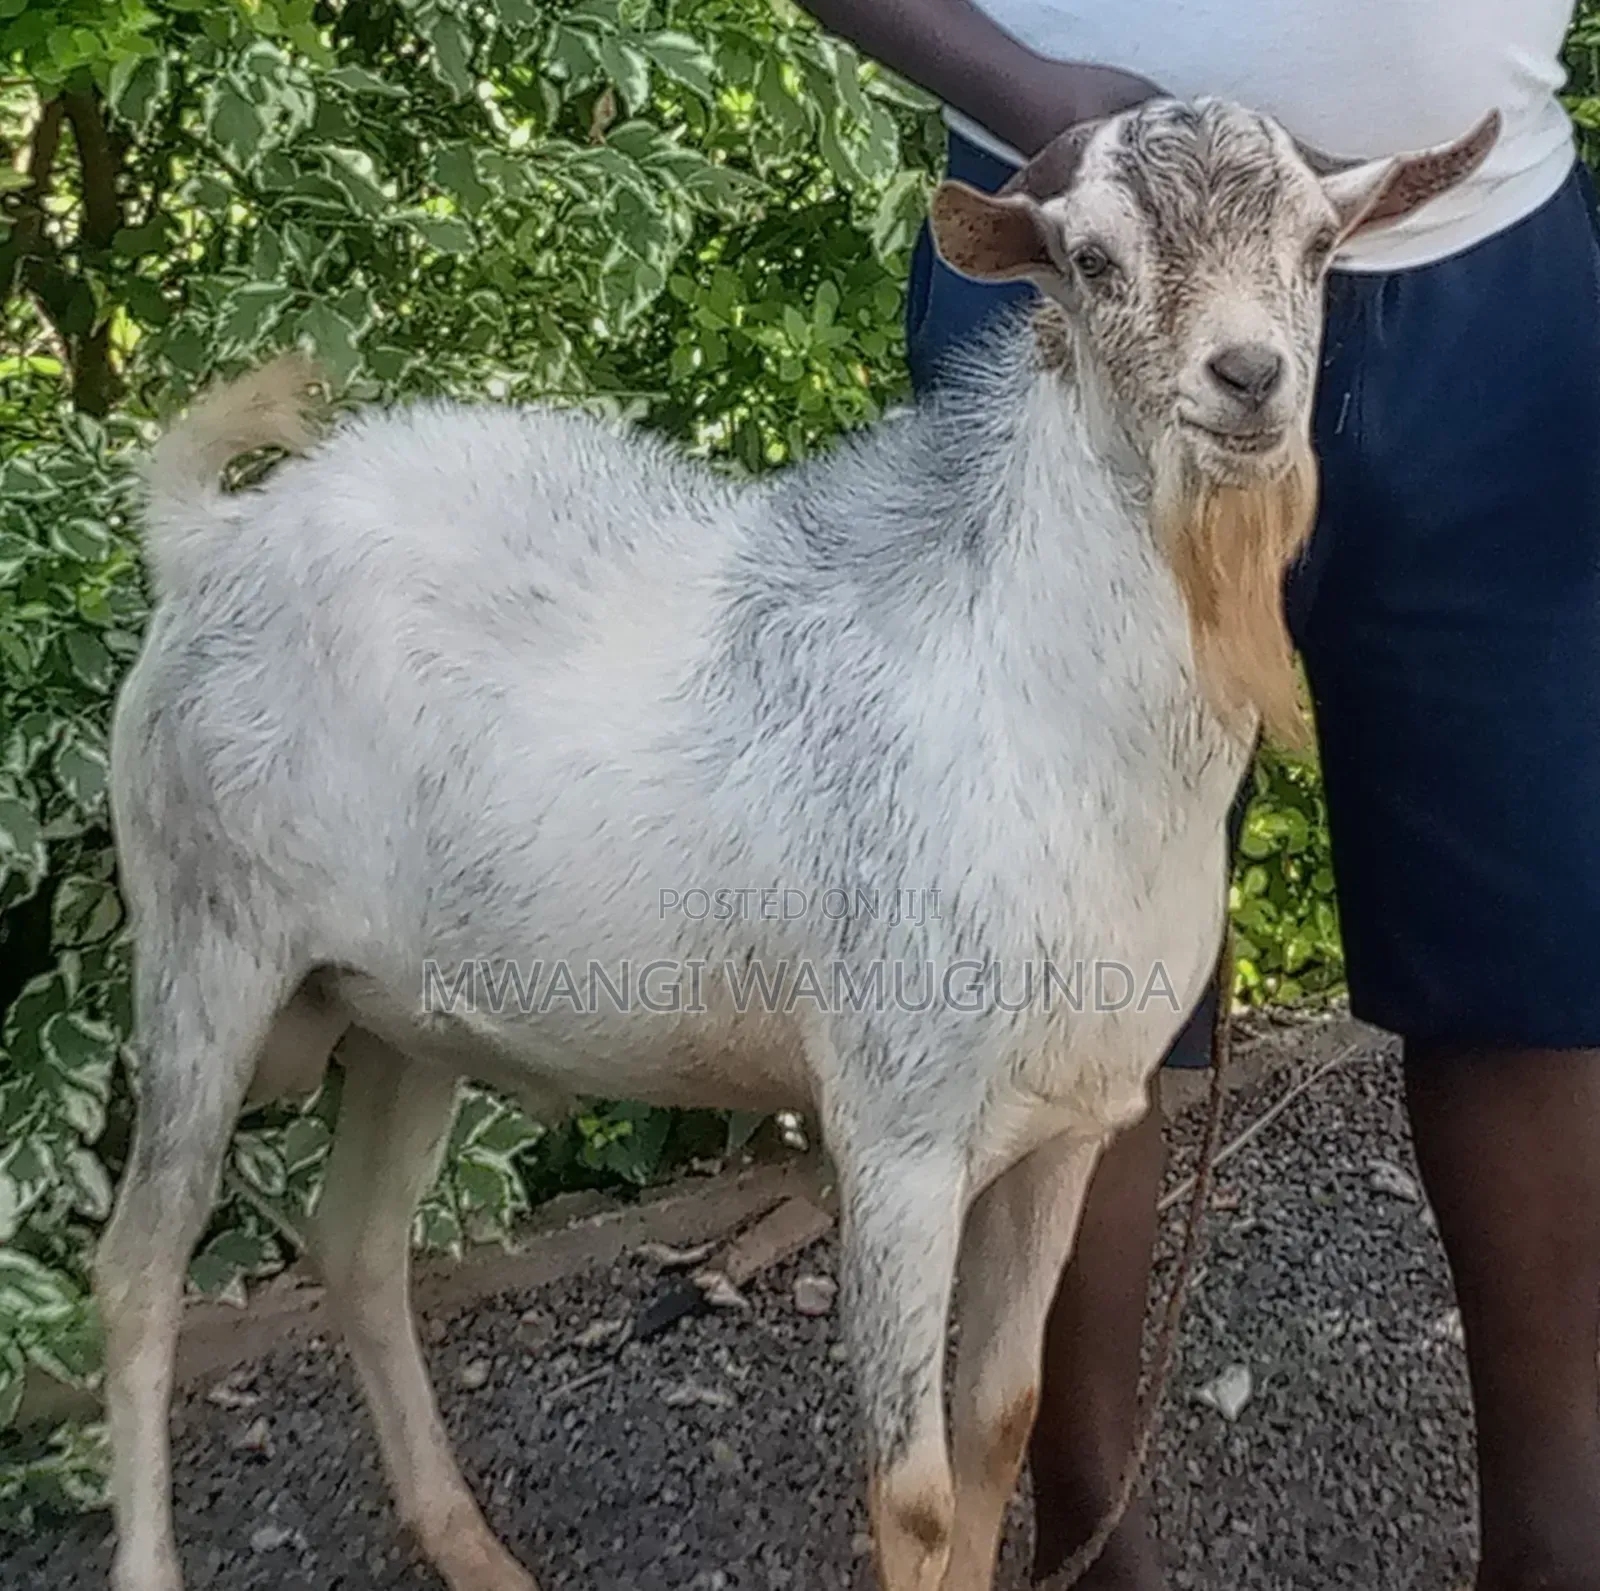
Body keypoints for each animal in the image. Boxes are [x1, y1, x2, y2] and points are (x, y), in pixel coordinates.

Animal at [97, 97, 1496, 1591]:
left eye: (1317, 246)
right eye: (1094, 260)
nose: (1248, 377)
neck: (1031, 705)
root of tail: (211, 538)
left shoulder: (1070, 1122)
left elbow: (1000, 1417)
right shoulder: (896, 1134)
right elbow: (914, 1492)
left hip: (399, 1017)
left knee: (359, 1251)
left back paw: (472, 1547)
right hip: (206, 948)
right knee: (138, 1271)